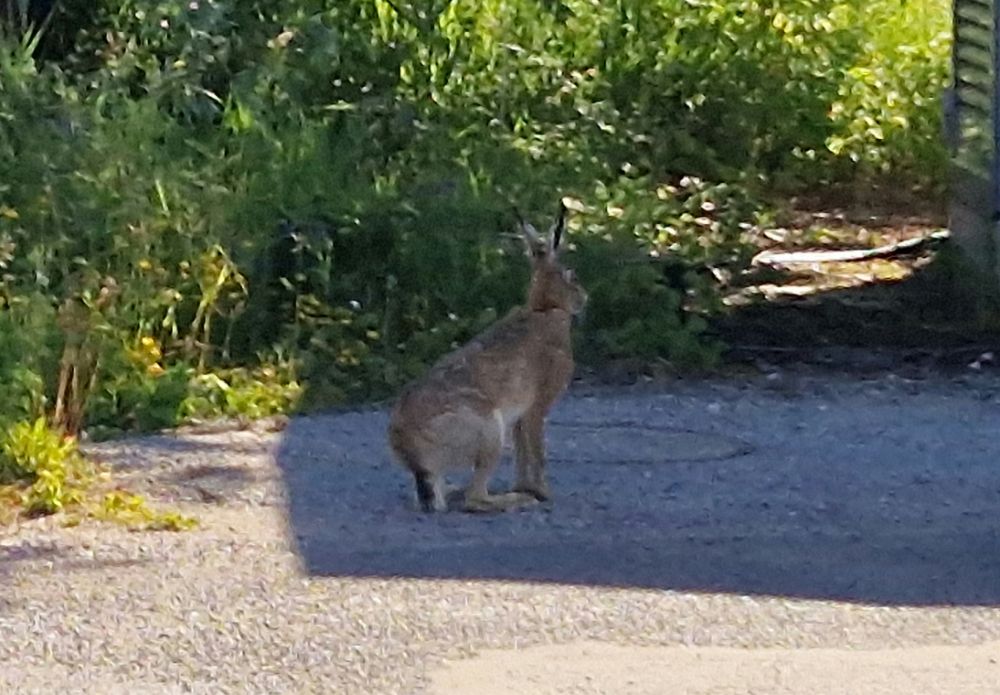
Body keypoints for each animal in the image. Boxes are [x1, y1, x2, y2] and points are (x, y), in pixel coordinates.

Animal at [387, 202, 587, 512]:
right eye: (571, 276)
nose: (583, 299)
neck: (545, 308)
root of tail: (414, 455)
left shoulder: (519, 416)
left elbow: (522, 453)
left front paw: (527, 486)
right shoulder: (537, 406)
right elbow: (538, 451)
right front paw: (542, 493)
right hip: (489, 430)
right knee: (475, 499)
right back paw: (517, 500)